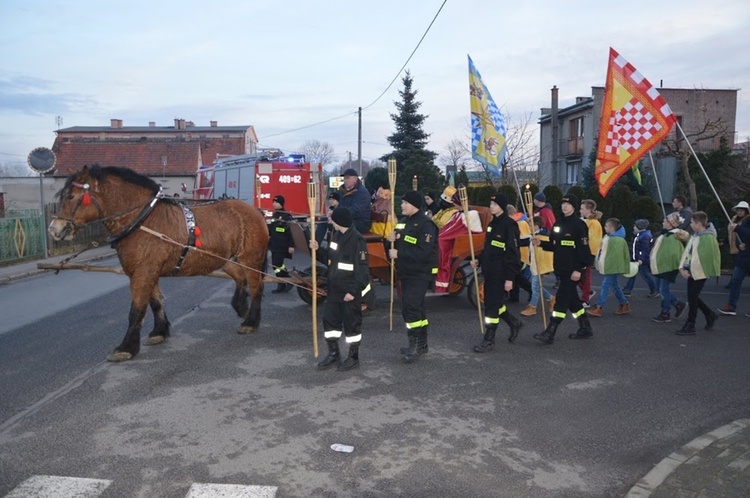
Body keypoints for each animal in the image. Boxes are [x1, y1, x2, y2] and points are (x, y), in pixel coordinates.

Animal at [49, 166, 270, 362]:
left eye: (71, 196)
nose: (54, 229)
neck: (142, 221)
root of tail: (255, 211)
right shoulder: (148, 272)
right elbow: (155, 303)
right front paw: (159, 331)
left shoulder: (143, 273)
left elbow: (136, 310)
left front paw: (126, 347)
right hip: (223, 259)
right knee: (240, 277)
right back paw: (241, 306)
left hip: (251, 258)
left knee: (256, 286)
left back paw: (251, 321)